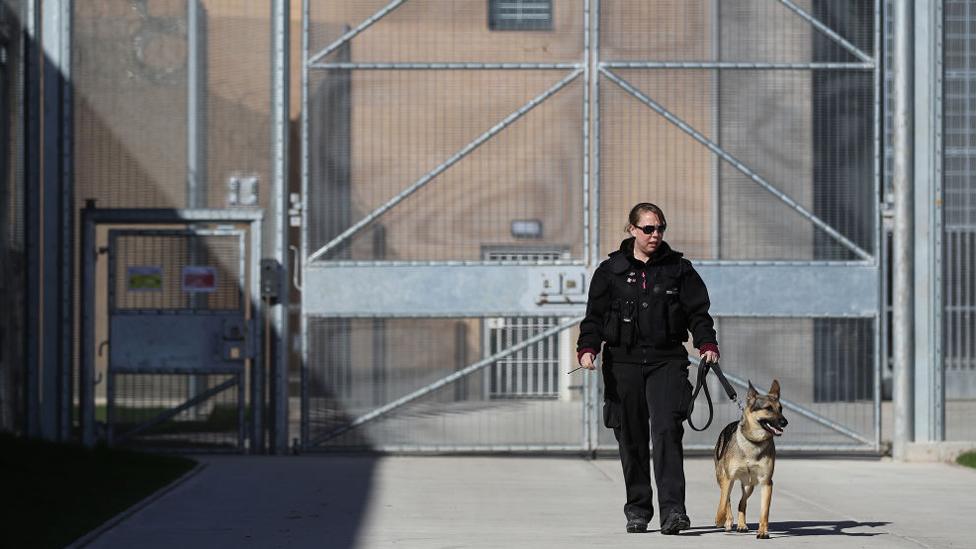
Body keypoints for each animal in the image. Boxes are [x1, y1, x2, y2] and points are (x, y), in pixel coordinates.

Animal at [712, 378, 788, 536]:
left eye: (781, 408)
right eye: (768, 408)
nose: (785, 422)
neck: (753, 442)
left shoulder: (766, 482)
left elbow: (764, 511)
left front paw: (763, 532)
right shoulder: (728, 479)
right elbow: (723, 503)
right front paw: (720, 519)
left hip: (749, 485)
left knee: (742, 502)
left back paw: (741, 524)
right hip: (722, 478)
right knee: (727, 500)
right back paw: (728, 521)